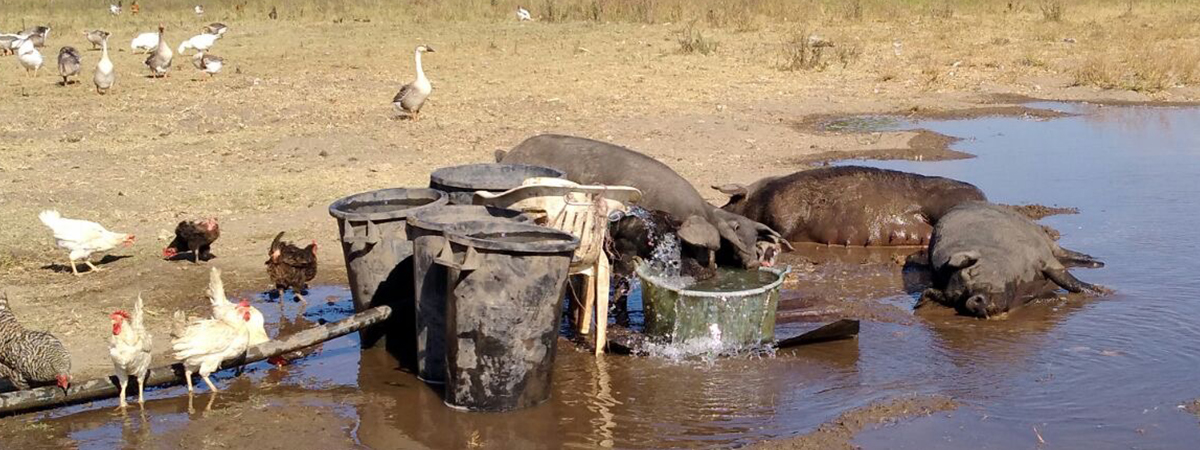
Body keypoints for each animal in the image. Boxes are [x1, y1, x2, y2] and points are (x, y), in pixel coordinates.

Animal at [916, 202, 1104, 319]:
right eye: (958, 298)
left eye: (970, 273)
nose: (972, 302)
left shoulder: (1040, 256)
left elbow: (1064, 277)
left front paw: (1099, 291)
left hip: (1043, 237)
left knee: (1062, 252)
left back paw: (1098, 262)